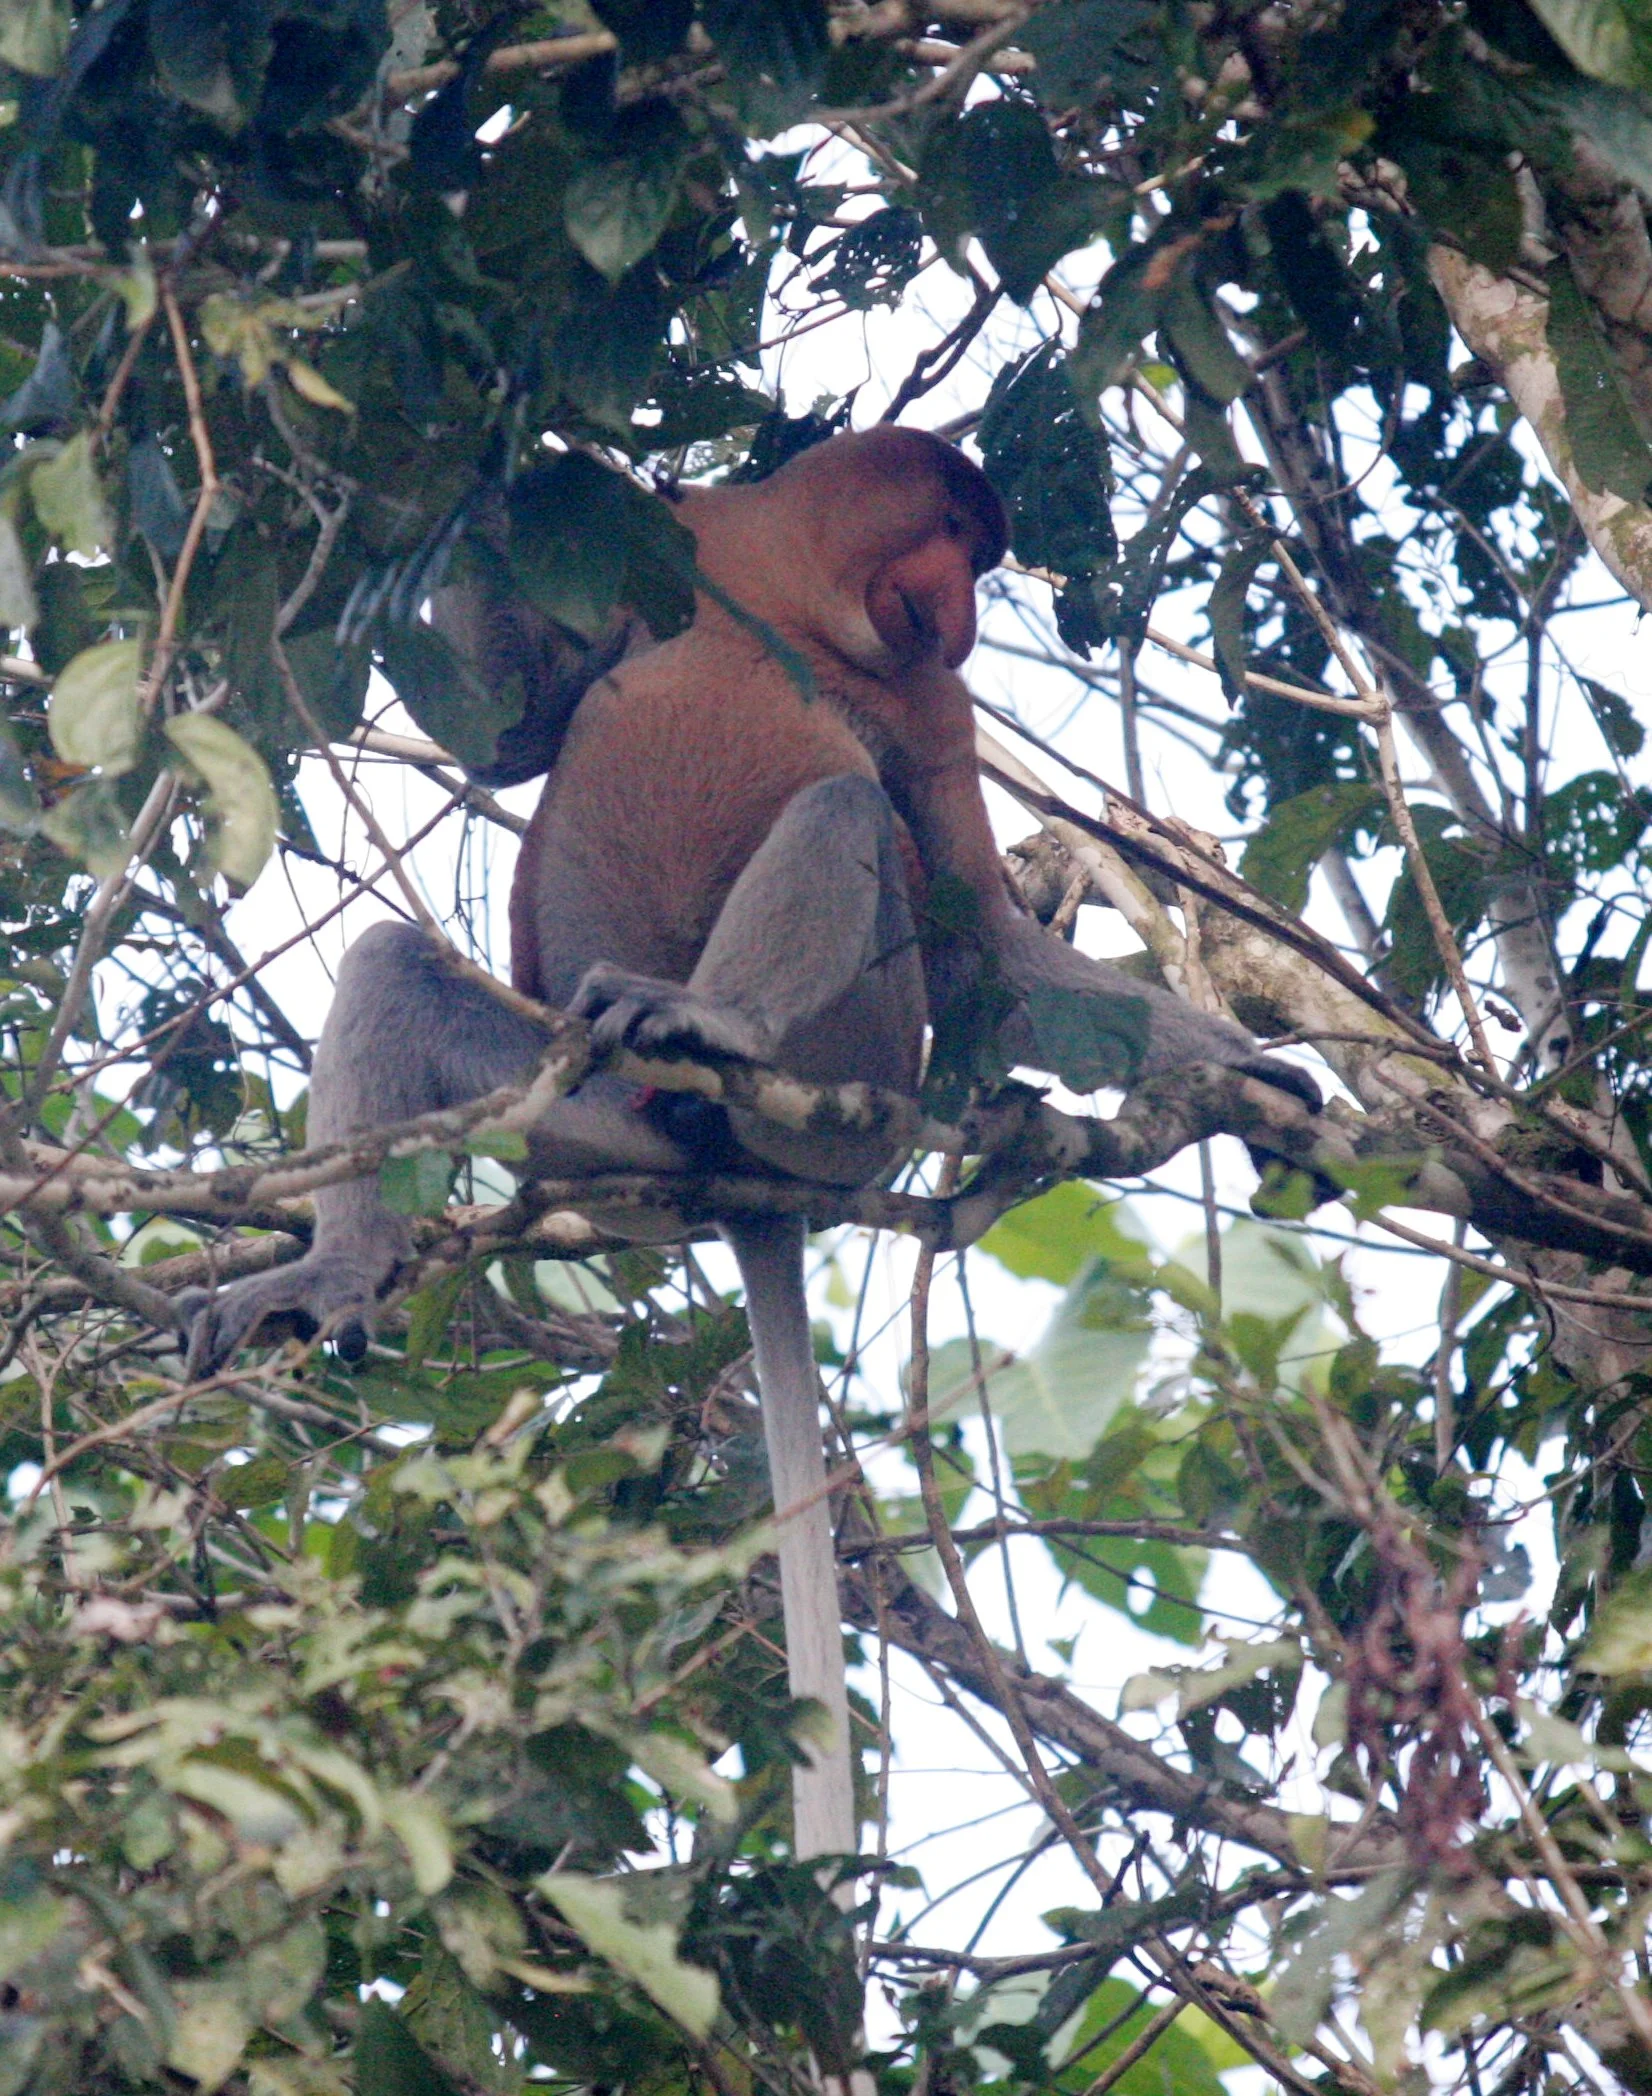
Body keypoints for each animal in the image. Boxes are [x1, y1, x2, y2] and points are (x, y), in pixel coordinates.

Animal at [178, 425, 1320, 1868]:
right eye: (958, 534)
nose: (958, 611)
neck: (788, 594)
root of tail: (745, 1185)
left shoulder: (933, 711)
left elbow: (978, 941)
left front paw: (1257, 1072)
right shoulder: (680, 562)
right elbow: (512, 734)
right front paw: (496, 468)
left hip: (858, 1075)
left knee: (839, 810)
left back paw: (711, 1021)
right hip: (583, 1113)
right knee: (397, 964)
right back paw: (335, 1268)